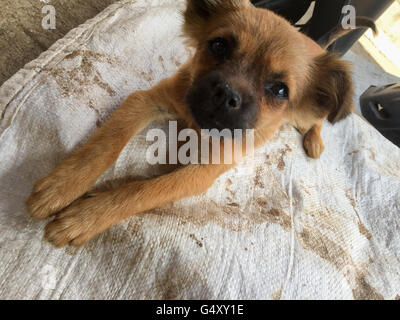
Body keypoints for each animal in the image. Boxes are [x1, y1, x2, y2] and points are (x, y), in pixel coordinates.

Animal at [26, 0, 354, 248]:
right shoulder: (145, 101)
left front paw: (85, 217)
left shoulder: (204, 170)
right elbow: (106, 144)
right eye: (219, 45)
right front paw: (63, 185)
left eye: (281, 90)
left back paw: (314, 141)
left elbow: (142, 191)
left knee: (320, 120)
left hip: (305, 114)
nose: (227, 95)